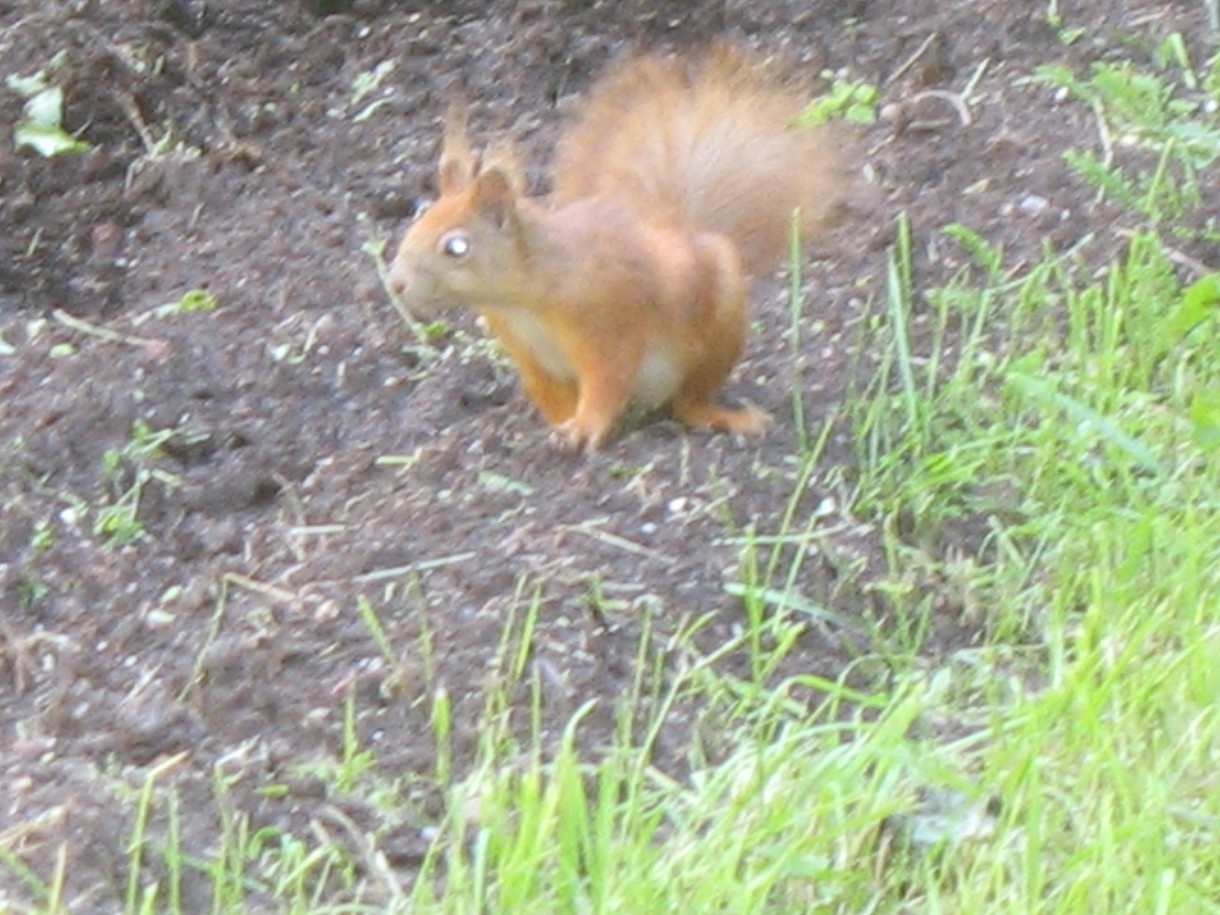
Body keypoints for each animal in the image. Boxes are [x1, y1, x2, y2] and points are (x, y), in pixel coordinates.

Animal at [390, 44, 839, 453]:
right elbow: (550, 395)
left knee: (690, 403)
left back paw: (726, 417)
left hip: (717, 335)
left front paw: (582, 428)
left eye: (456, 246)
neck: (528, 296)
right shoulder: (527, 354)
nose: (395, 283)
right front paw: (560, 426)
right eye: (416, 223)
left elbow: (607, 380)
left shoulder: (606, 323)